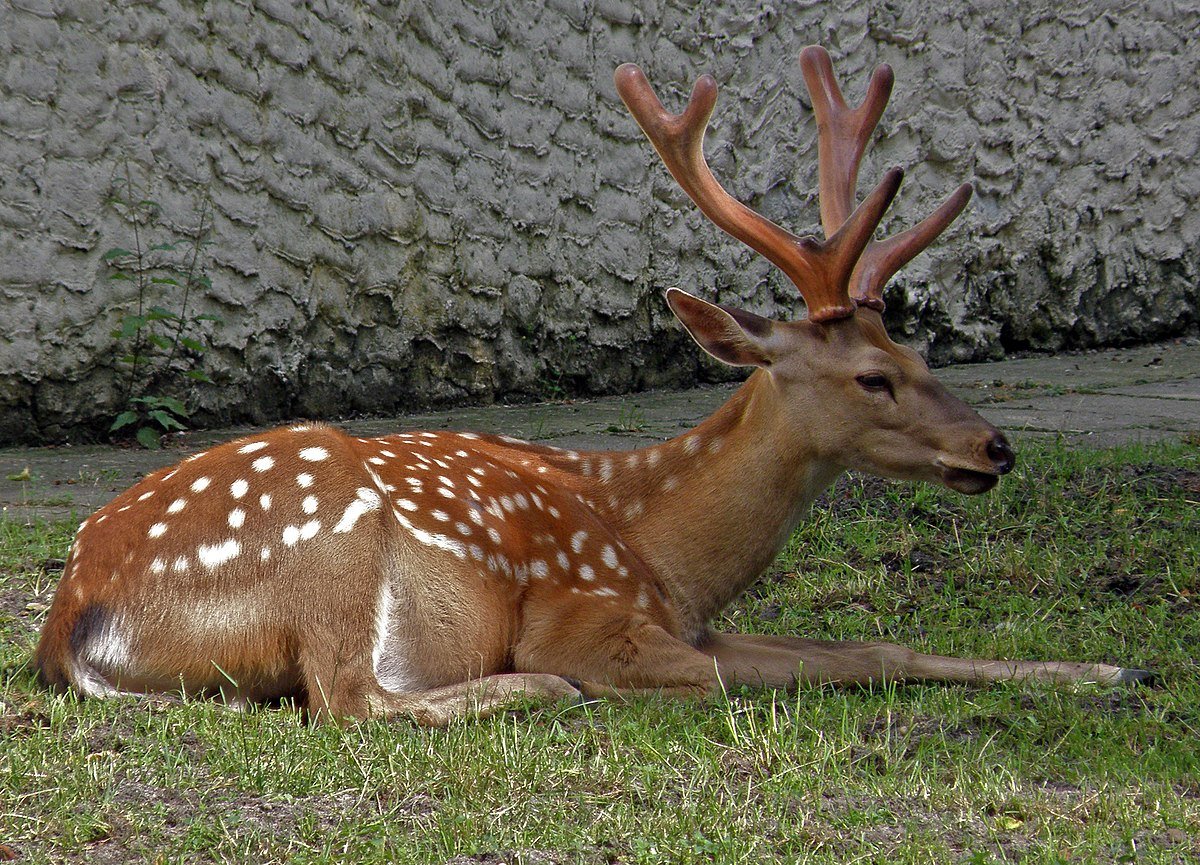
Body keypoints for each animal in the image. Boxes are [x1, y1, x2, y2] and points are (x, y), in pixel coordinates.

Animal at [34, 47, 1150, 726]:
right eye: (873, 377)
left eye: (924, 359)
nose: (995, 446)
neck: (666, 554)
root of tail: (72, 621)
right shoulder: (592, 616)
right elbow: (760, 673)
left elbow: (876, 644)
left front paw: (1109, 669)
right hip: (333, 542)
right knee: (351, 698)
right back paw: (531, 684)